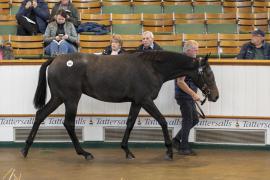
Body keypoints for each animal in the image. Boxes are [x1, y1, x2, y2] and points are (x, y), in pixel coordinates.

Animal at [21, 50, 219, 160]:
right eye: (208, 74)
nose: (215, 96)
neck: (152, 68)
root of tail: (55, 59)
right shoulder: (146, 100)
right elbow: (162, 121)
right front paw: (169, 151)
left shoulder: (137, 102)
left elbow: (130, 123)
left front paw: (127, 151)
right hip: (70, 99)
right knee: (68, 123)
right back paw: (85, 153)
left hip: (58, 98)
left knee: (40, 115)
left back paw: (25, 149)